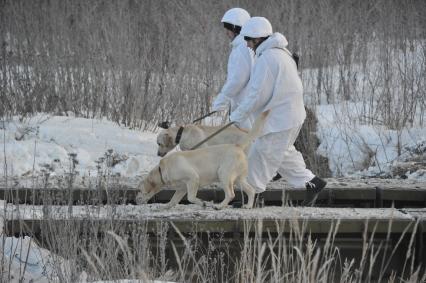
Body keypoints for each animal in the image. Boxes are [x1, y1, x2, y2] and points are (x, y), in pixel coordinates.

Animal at [137, 110, 270, 209]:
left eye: (139, 190)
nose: (135, 200)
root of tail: (237, 146)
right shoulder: (181, 188)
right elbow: (173, 201)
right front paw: (164, 206)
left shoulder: (193, 178)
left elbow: (191, 198)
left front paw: (204, 203)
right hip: (238, 179)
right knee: (251, 190)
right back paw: (248, 205)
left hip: (224, 174)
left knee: (231, 194)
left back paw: (219, 206)